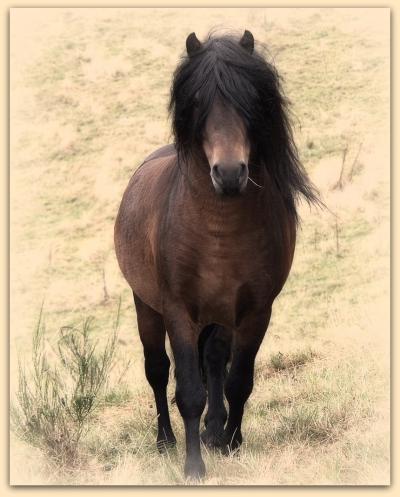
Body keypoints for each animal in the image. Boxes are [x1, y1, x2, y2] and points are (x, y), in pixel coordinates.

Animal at [115, 30, 318, 476]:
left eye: (251, 100)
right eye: (196, 102)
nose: (228, 173)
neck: (219, 230)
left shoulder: (256, 311)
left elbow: (238, 380)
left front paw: (230, 443)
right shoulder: (177, 310)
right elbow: (189, 391)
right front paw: (193, 466)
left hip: (219, 315)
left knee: (213, 363)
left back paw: (213, 431)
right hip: (146, 305)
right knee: (158, 371)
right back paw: (166, 440)